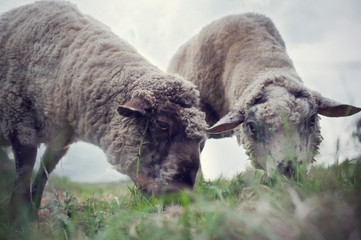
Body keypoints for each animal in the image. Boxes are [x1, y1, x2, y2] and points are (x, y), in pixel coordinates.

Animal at [0, 0, 207, 220]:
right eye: (162, 125)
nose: (181, 197)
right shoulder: (19, 121)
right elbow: (24, 172)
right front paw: (20, 219)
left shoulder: (61, 138)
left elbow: (44, 173)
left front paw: (31, 215)